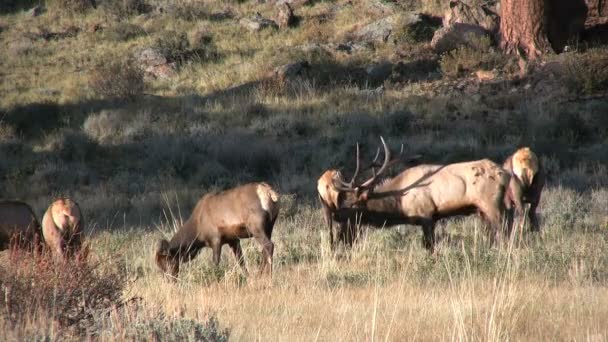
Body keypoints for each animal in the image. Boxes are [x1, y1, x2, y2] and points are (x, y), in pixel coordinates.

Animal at [320, 138, 510, 252]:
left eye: (352, 207)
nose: (335, 216)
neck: (400, 203)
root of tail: (505, 173)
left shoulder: (427, 215)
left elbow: (429, 246)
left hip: (491, 203)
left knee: (504, 228)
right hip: (482, 210)